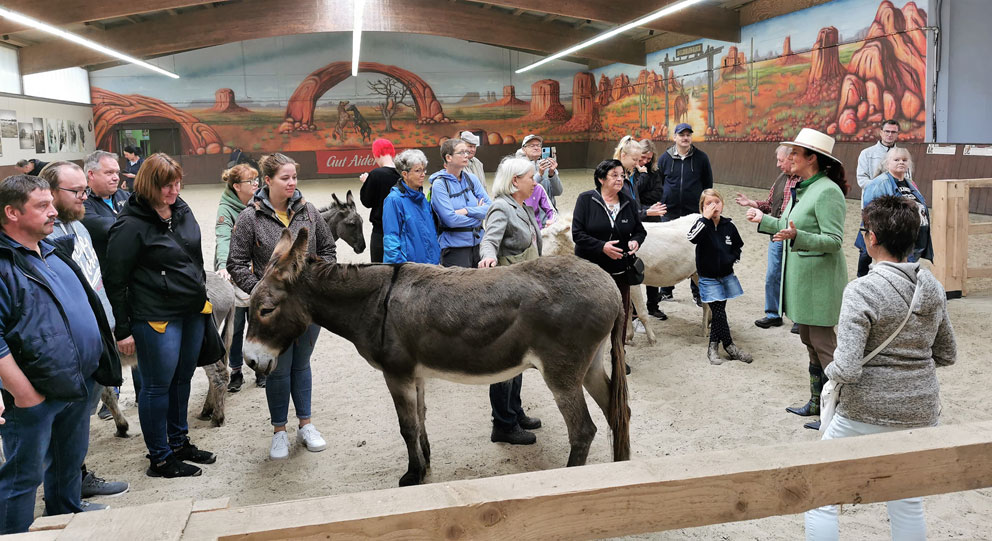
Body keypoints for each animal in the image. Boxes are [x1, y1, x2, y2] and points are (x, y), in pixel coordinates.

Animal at [242, 228, 628, 486]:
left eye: (265, 310)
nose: (250, 361)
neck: (375, 302)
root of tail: (610, 285)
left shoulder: (396, 374)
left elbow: (407, 425)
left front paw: (412, 475)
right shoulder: (416, 374)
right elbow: (421, 418)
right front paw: (425, 464)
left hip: (562, 374)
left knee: (583, 429)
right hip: (590, 367)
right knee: (616, 412)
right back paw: (620, 467)